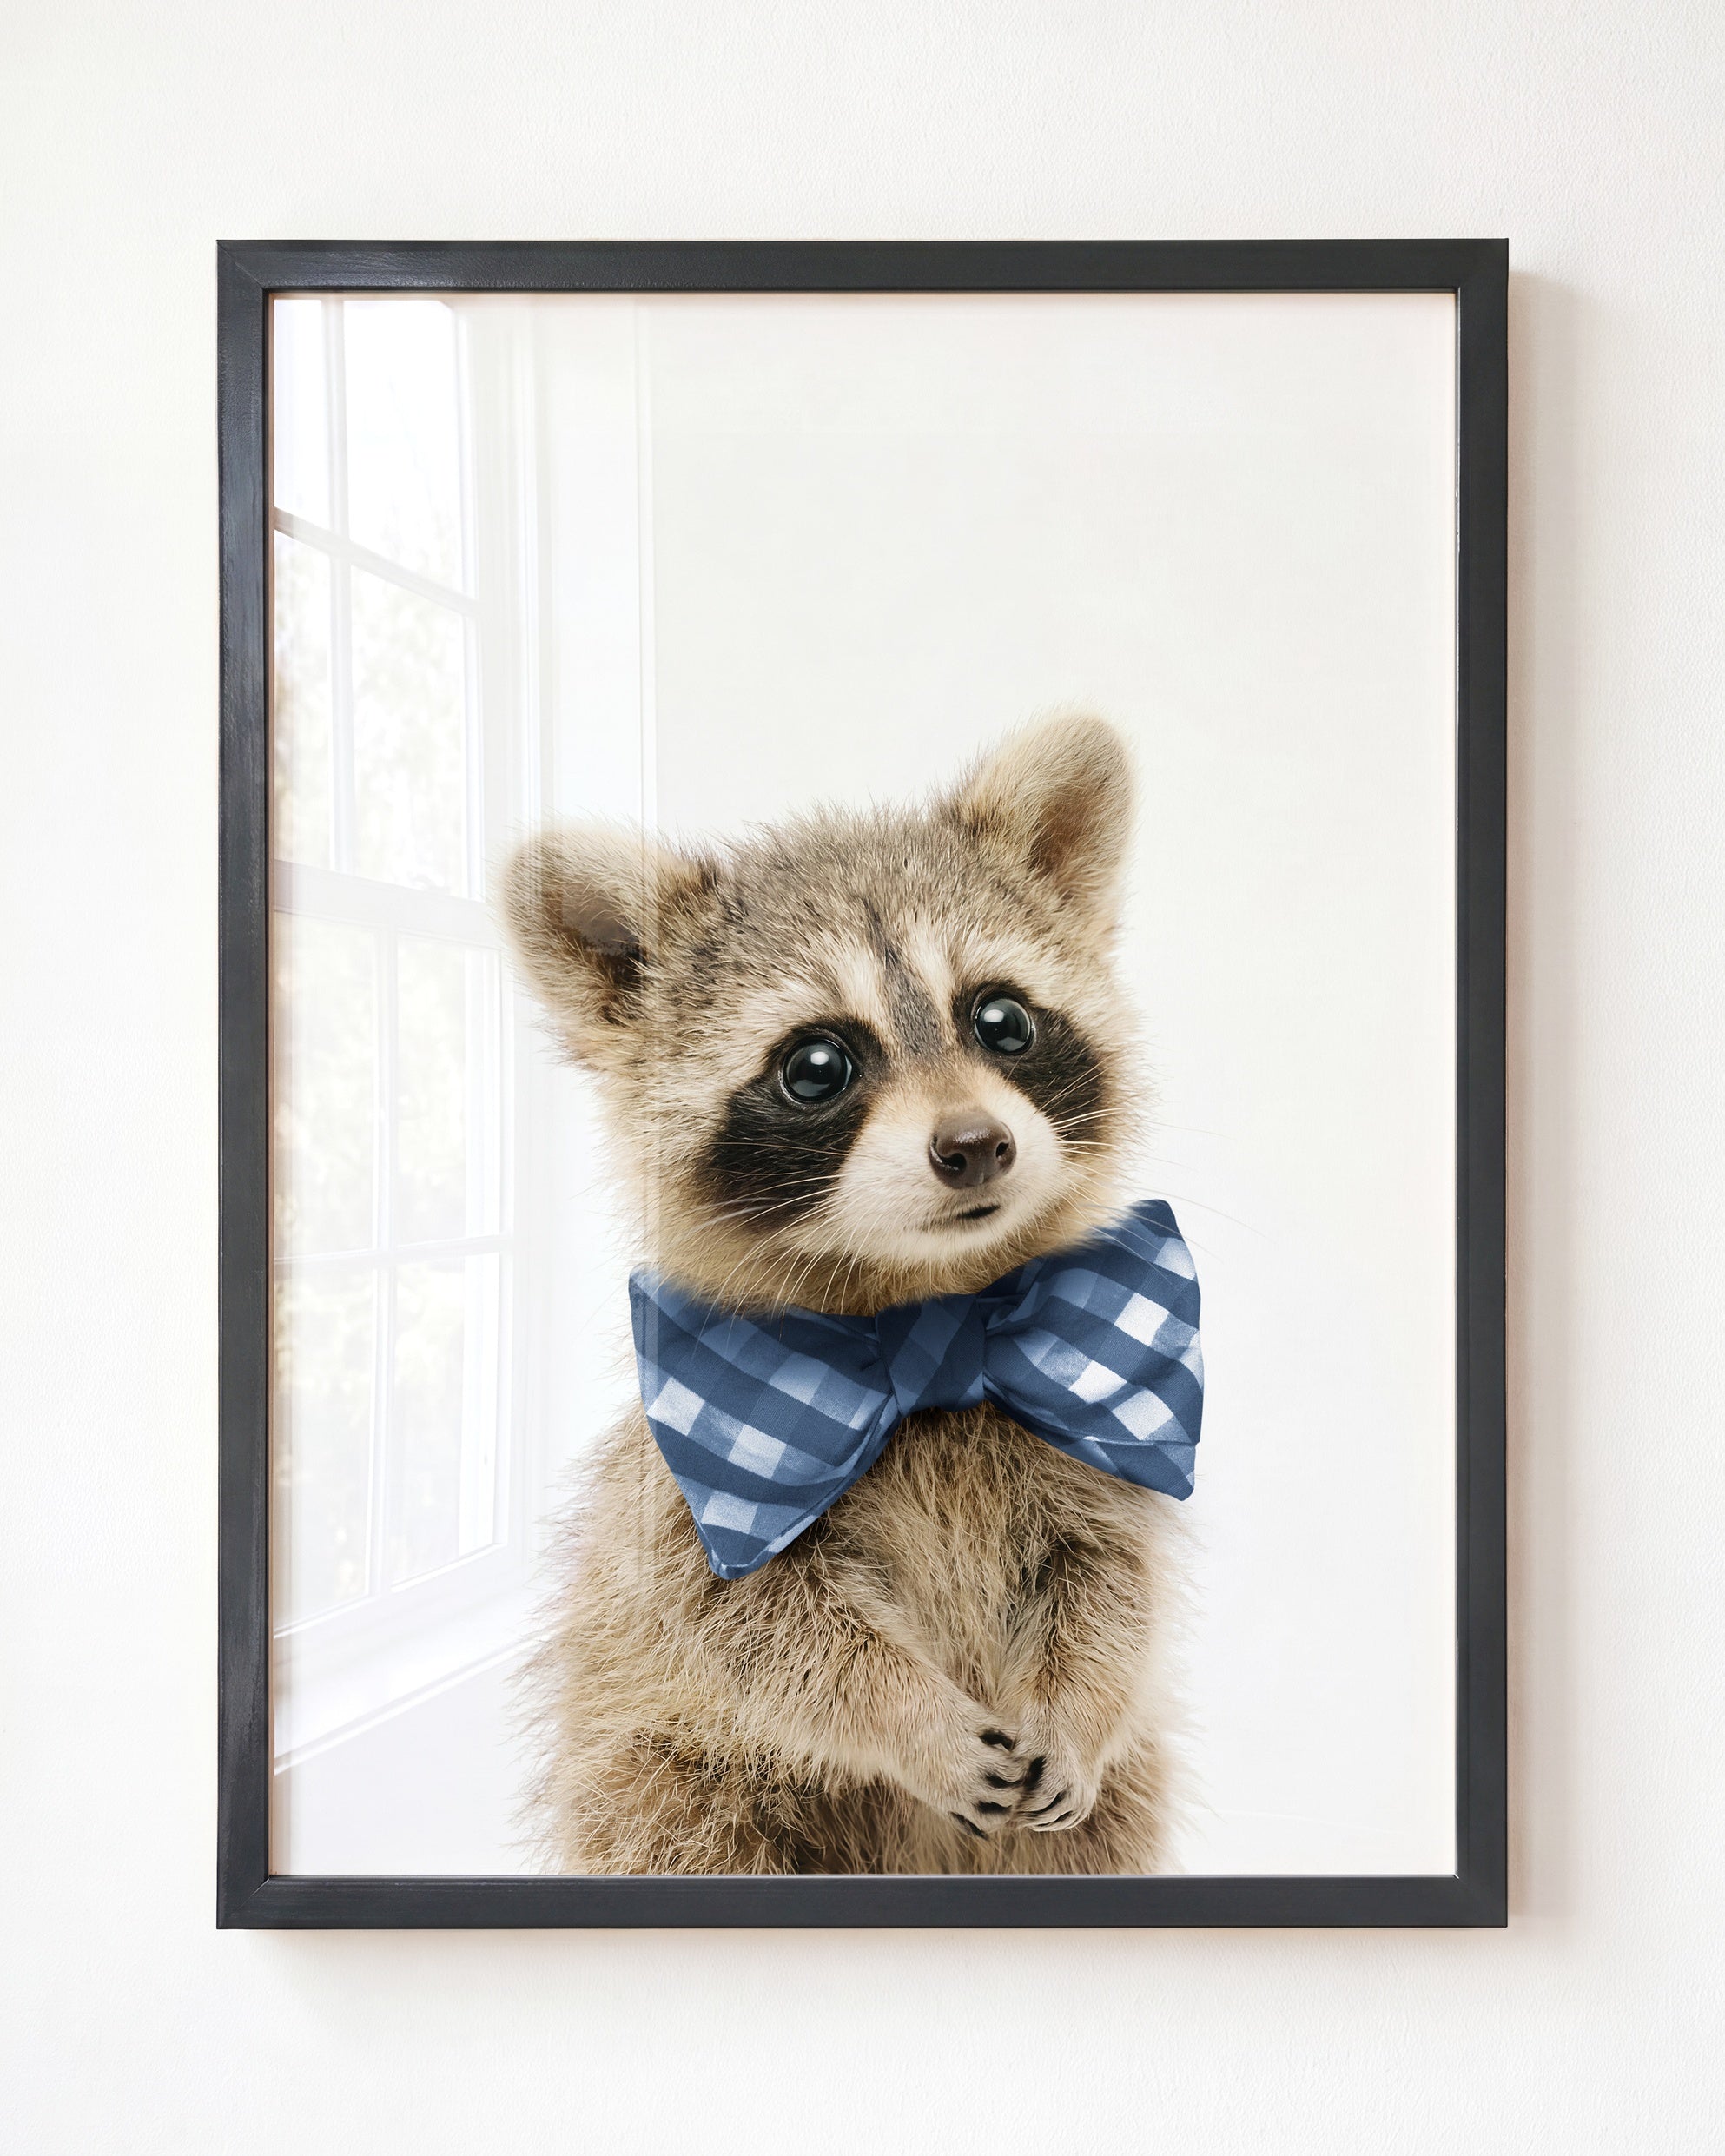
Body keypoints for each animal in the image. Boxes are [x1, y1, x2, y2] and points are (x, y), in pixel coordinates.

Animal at [502, 714, 1187, 1874]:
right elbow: (758, 1633)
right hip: (662, 1780)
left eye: (1002, 1019)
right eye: (818, 1064)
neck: (930, 1312)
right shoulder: (689, 1498)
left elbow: (1111, 1581)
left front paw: (1080, 1704)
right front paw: (911, 1717)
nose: (976, 1145)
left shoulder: (1089, 1439)